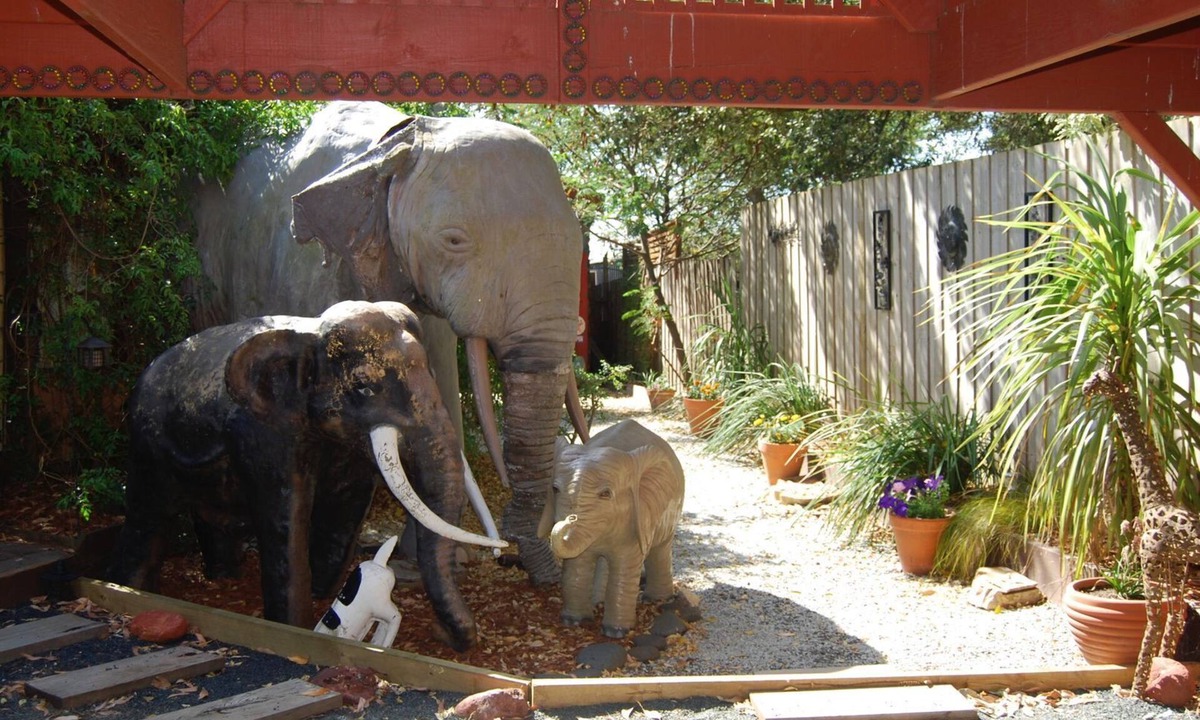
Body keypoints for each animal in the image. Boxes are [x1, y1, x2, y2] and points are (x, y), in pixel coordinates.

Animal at [107, 301, 505, 651]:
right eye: (363, 385)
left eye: (429, 370)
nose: (444, 636)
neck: (311, 332)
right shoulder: (266, 432)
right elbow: (285, 516)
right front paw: (293, 626)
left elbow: (347, 506)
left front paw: (323, 593)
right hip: (146, 445)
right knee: (146, 516)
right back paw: (133, 587)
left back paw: (223, 576)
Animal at [537, 419, 686, 637]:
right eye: (555, 489)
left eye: (606, 494)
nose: (570, 518)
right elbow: (578, 564)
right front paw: (573, 621)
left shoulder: (636, 520)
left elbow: (624, 566)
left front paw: (615, 633)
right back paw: (597, 601)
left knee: (660, 550)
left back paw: (657, 600)